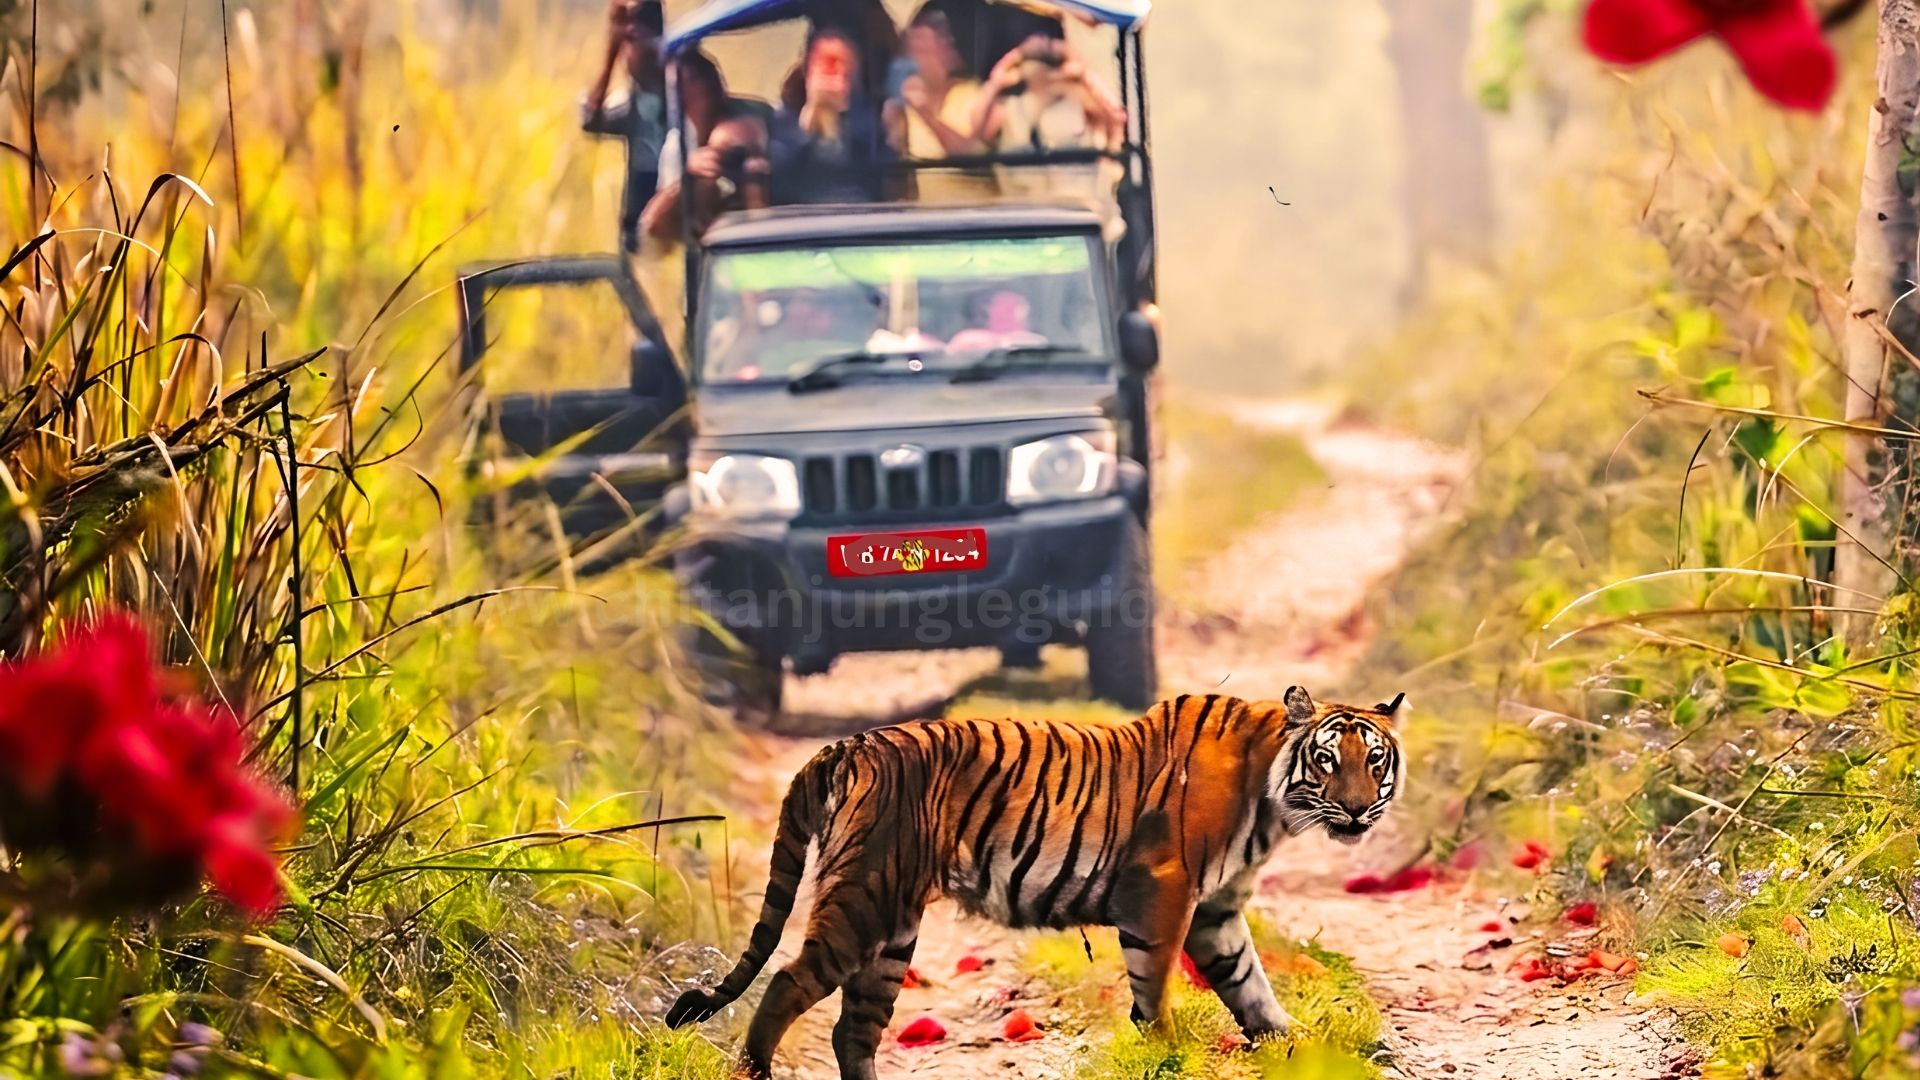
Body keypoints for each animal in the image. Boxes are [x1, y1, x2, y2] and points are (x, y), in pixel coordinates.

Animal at [665, 686, 1407, 1080]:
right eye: (1327, 760)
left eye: (1375, 760)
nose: (1355, 810)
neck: (1275, 801)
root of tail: (846, 745)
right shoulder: (1164, 892)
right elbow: (1155, 985)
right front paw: (1166, 1051)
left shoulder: (1216, 911)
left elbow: (1250, 984)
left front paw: (1297, 1046)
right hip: (864, 897)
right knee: (787, 982)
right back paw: (754, 1070)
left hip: (893, 927)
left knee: (855, 1027)